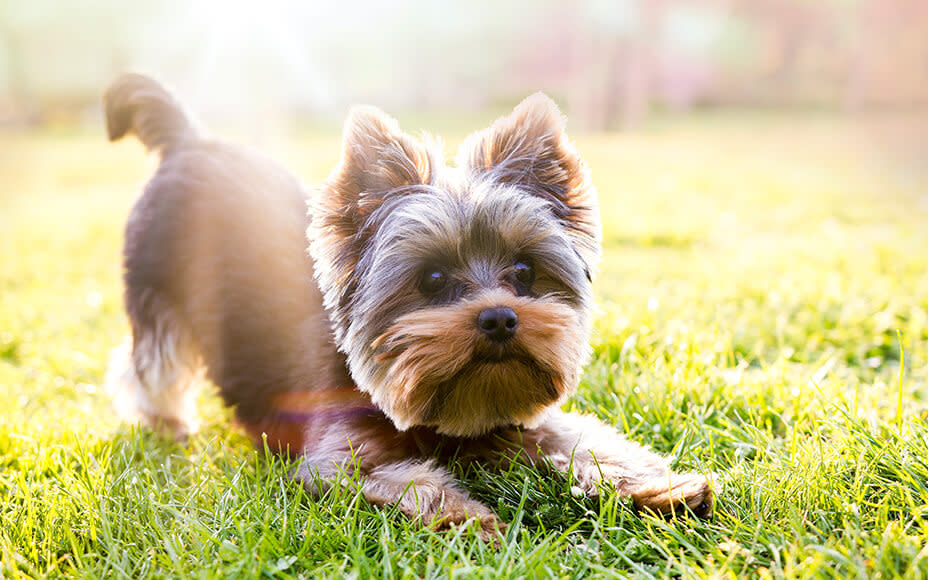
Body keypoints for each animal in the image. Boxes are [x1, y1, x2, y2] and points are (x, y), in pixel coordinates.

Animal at [103, 73, 712, 540]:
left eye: (523, 272)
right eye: (432, 278)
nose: (499, 317)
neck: (446, 413)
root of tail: (188, 141)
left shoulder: (515, 418)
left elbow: (584, 442)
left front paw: (659, 487)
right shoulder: (336, 461)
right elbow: (411, 482)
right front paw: (471, 519)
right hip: (156, 291)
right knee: (149, 364)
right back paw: (166, 423)